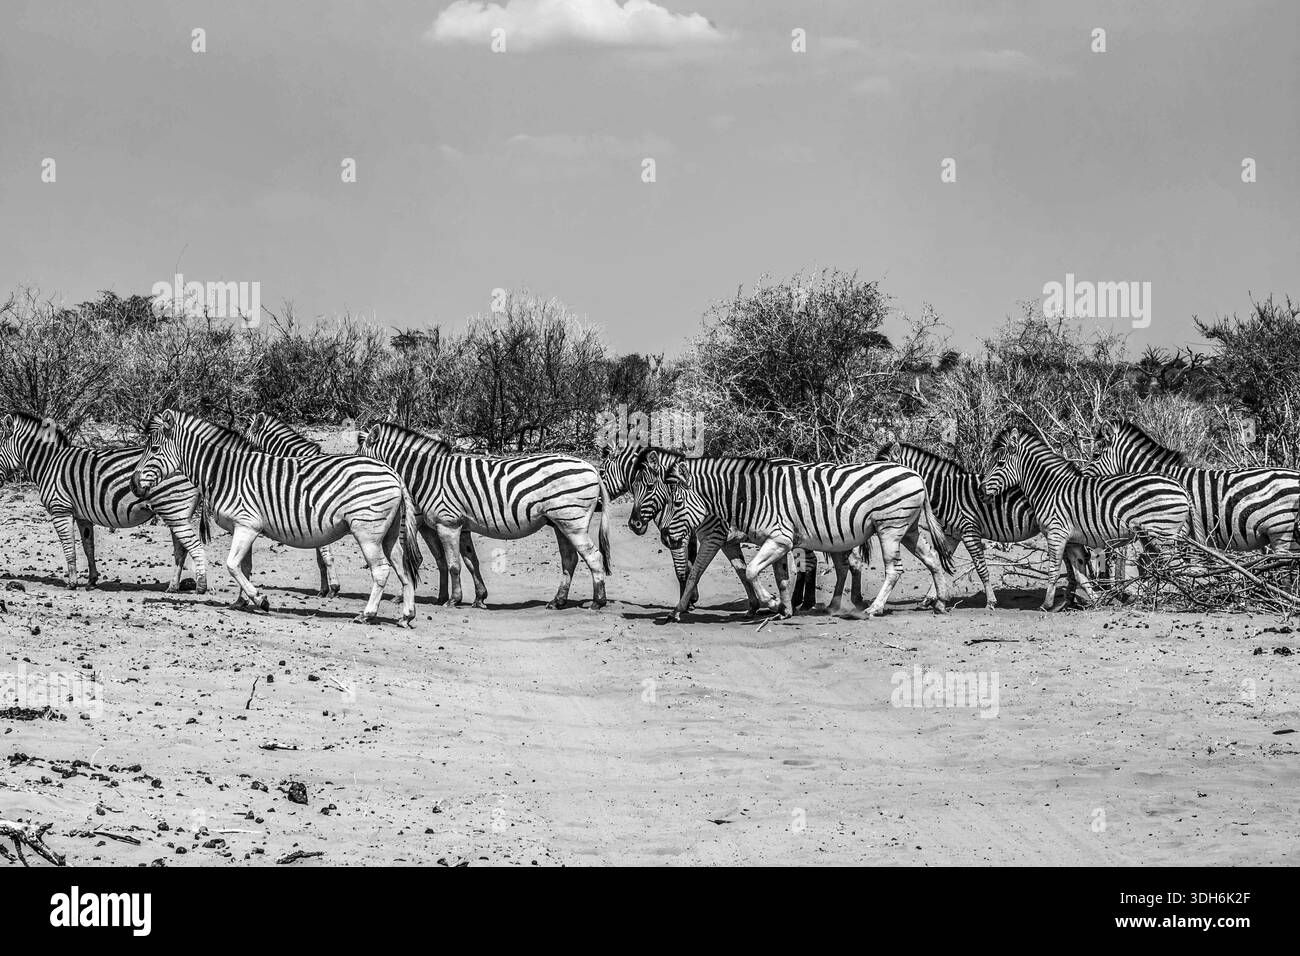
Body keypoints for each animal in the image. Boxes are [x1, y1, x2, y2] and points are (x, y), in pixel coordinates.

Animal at [0, 411, 210, 592]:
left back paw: (199, 586)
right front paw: (92, 580)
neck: (49, 463)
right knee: (181, 549)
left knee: (190, 546)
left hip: (173, 509)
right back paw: (173, 586)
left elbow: (69, 548)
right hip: (177, 513)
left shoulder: (60, 509)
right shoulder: (82, 515)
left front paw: (72, 583)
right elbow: (88, 547)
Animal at [359, 421, 610, 610]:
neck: (427, 476)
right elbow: (471, 562)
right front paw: (479, 597)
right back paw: (558, 601)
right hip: (559, 523)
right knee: (570, 559)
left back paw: (598, 601)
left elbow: (454, 564)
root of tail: (591, 467)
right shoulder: (462, 526)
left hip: (572, 521)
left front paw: (454, 600)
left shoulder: (447, 523)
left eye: (360, 458)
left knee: (593, 556)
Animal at [651, 454, 954, 621]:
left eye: (676, 503)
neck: (751, 497)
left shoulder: (779, 538)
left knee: (894, 569)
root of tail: (915, 474)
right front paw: (784, 609)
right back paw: (940, 602)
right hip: (908, 528)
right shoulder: (778, 542)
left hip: (890, 527)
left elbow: (750, 571)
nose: (667, 539)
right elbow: (781, 577)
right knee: (932, 558)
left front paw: (773, 603)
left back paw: (874, 609)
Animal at [878, 441, 1094, 609]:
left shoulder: (969, 531)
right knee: (1075, 560)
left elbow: (981, 567)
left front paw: (990, 601)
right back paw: (1072, 599)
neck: (947, 492)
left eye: (886, 474)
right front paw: (933, 598)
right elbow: (940, 562)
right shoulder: (952, 534)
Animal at [982, 426, 1190, 611]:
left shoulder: (1056, 534)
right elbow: (1081, 575)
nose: (981, 490)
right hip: (1154, 535)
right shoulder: (1072, 541)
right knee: (1162, 563)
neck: (1048, 489)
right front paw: (1098, 601)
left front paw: (1046, 605)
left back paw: (1179, 598)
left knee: (1174, 565)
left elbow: (1053, 571)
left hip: (1162, 533)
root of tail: (1179, 486)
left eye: (999, 464)